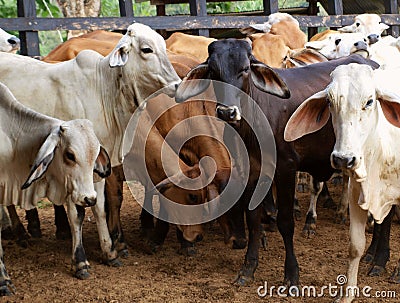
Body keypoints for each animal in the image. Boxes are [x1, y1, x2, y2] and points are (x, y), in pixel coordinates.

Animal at [286, 63, 400, 302]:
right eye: (329, 102)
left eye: (369, 101)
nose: (343, 159)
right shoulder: (358, 194)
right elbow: (355, 246)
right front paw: (347, 294)